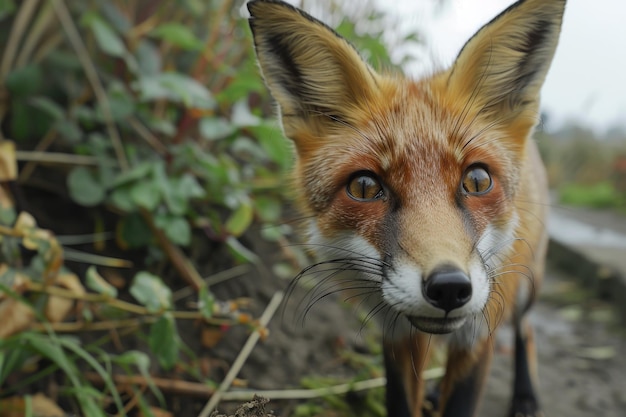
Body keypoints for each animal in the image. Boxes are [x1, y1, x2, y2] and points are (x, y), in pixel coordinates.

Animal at [246, 0, 564, 416]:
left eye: (478, 181)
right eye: (364, 187)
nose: (449, 288)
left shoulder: (480, 330)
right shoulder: (395, 330)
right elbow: (400, 397)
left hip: (527, 286)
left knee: (526, 329)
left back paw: (525, 395)